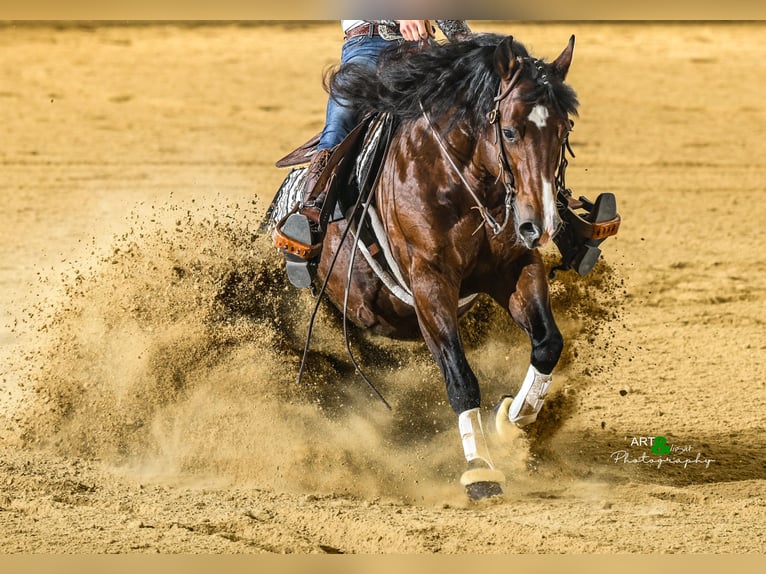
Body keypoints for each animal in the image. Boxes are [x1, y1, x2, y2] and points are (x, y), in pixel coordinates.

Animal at [308, 36, 580, 502]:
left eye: (562, 132)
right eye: (509, 131)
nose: (539, 224)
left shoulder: (515, 265)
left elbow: (548, 344)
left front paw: (510, 425)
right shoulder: (429, 281)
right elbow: (460, 377)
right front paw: (480, 469)